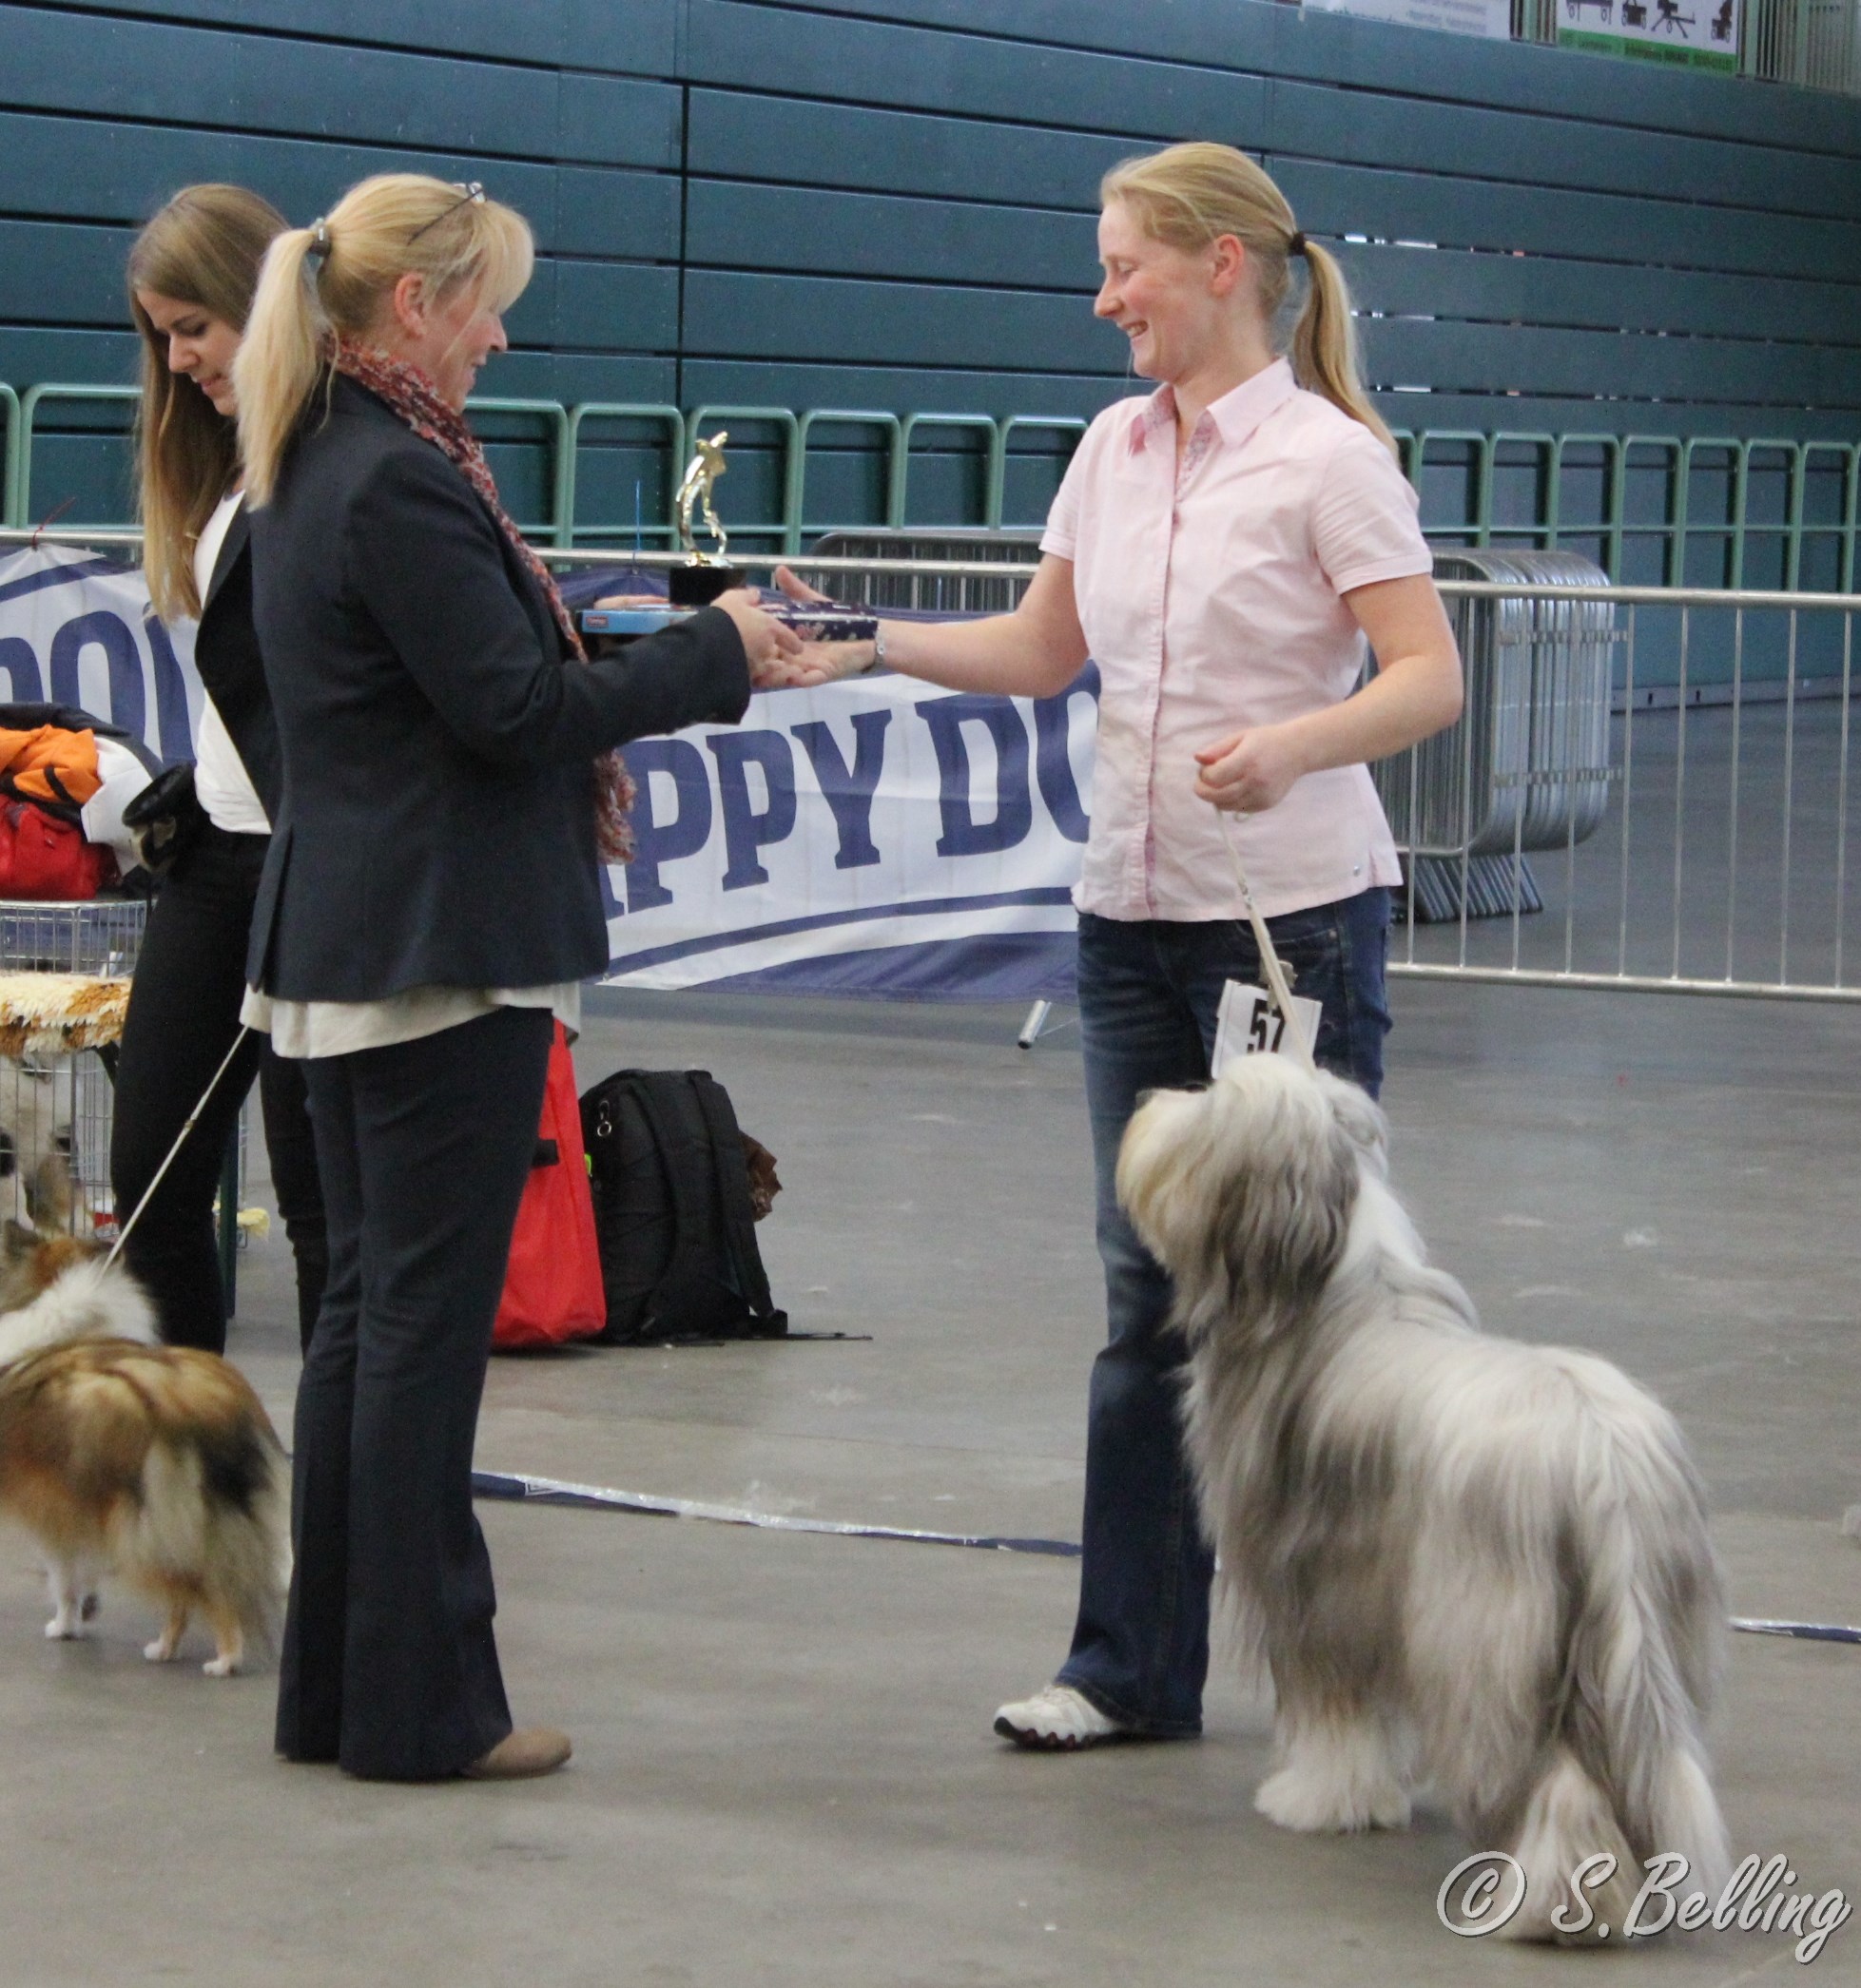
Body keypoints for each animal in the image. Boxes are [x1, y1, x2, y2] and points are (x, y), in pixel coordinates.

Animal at [0, 1192, 290, 1677]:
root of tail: (211, 1408)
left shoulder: (53, 1508)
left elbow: (64, 1577)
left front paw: (63, 1625)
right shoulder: (76, 1505)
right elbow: (80, 1573)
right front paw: (82, 1615)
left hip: (145, 1527)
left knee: (198, 1590)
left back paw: (217, 1658)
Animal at [1113, 1057, 1734, 1940]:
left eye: (1210, 1098)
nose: (1144, 1100)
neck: (1325, 1279)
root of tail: (1597, 1463)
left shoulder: (1315, 1583)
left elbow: (1335, 1713)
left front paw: (1317, 1798)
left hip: (1487, 1637)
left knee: (1552, 1773)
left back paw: (1552, 1904)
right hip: (1648, 1636)